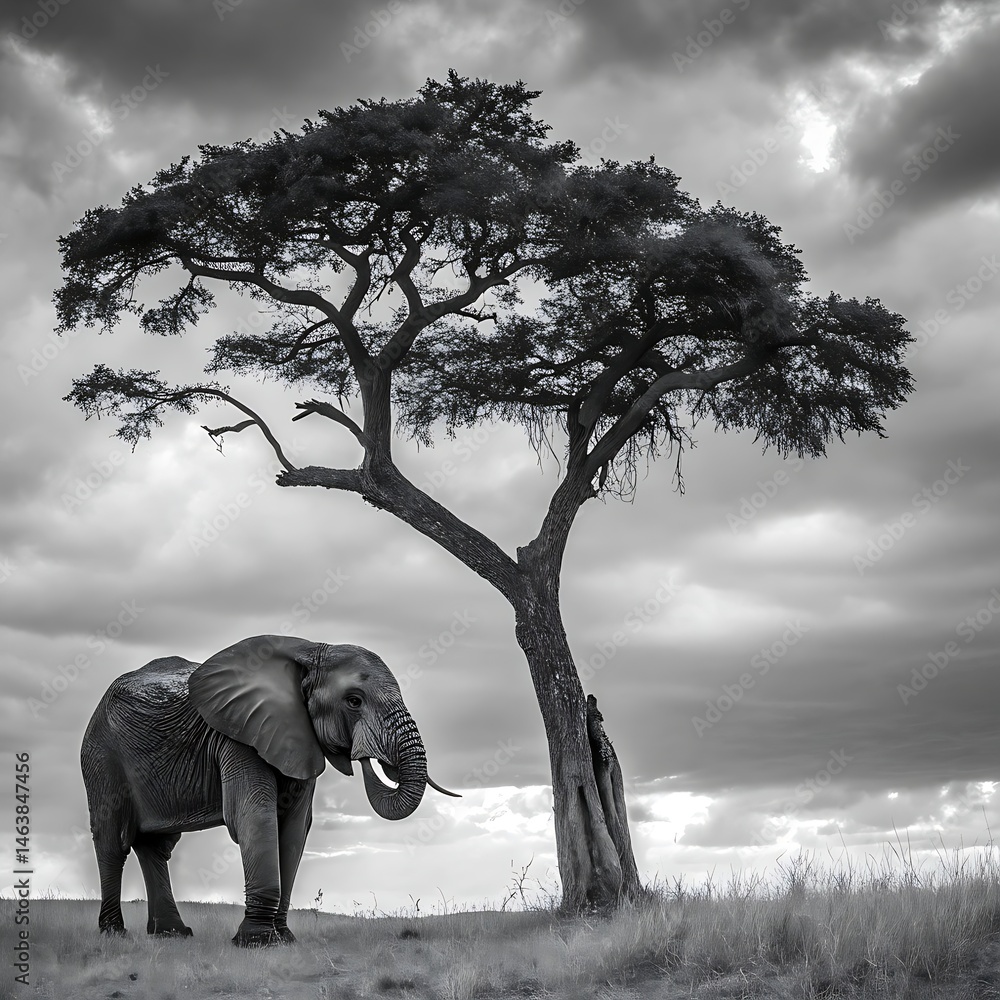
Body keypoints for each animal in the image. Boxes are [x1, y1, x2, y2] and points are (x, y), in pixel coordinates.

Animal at [80, 635, 457, 946]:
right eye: (354, 701)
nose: (368, 756)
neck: (309, 650)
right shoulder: (238, 736)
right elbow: (254, 816)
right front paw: (256, 942)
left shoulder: (299, 736)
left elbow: (295, 827)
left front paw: (284, 938)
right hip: (102, 755)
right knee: (113, 840)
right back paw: (115, 934)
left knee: (156, 846)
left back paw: (172, 935)